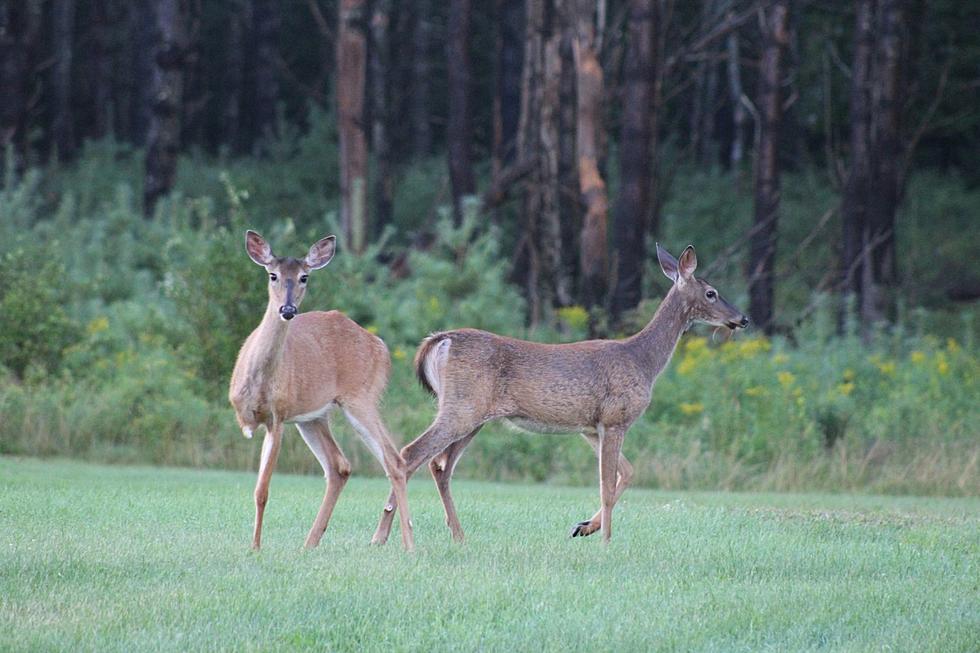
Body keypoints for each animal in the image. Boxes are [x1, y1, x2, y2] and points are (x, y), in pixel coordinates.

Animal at [230, 229, 414, 552]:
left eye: (304, 277)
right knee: (339, 466)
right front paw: (255, 545)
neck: (258, 380)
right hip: (314, 417)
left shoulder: (278, 416)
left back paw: (408, 544)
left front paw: (255, 548)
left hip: (361, 398)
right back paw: (310, 542)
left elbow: (262, 490)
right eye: (272, 274)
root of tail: (381, 347)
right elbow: (258, 489)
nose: (288, 310)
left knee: (394, 460)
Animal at [372, 242, 748, 544]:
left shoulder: (590, 427)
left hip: (473, 416)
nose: (742, 319)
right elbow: (607, 485)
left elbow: (627, 472)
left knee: (438, 466)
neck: (644, 361)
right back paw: (384, 535)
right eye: (712, 292)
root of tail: (440, 340)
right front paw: (606, 541)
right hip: (461, 408)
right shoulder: (615, 418)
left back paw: (456, 535)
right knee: (410, 453)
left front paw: (584, 527)